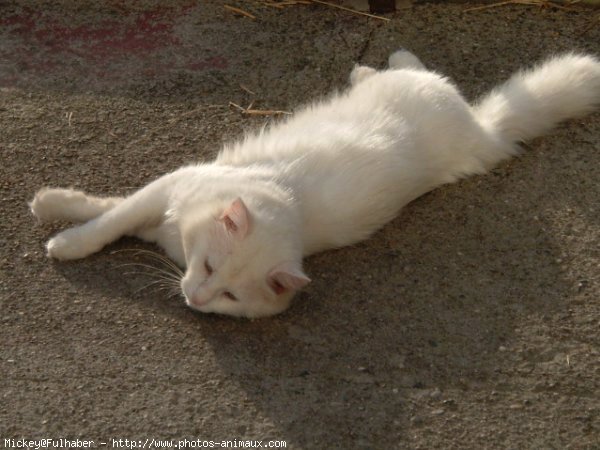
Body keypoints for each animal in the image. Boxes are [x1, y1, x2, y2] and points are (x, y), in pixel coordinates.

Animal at [30, 50, 600, 316]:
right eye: (210, 266)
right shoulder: (167, 189)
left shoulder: (168, 204)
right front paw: (58, 216)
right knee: (413, 67)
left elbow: (111, 215)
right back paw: (374, 64)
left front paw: (63, 235)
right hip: (419, 90)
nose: (195, 296)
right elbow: (108, 213)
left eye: (228, 295)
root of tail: (483, 132)